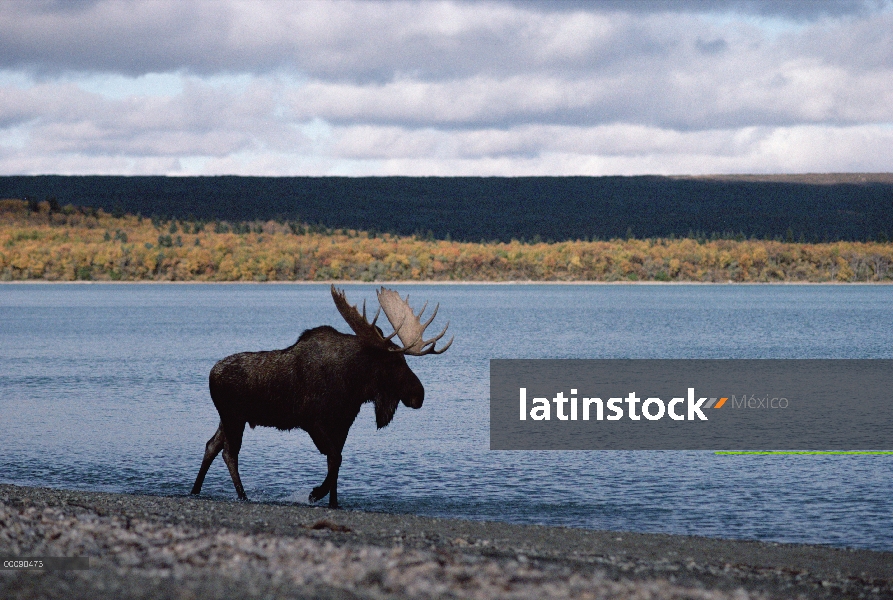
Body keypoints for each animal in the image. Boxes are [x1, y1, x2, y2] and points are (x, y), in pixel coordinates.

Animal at [189, 284, 452, 506]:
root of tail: (212, 373)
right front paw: (315, 493)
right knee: (229, 452)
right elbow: (335, 458)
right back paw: (242, 496)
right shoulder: (312, 421)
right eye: (393, 362)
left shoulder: (343, 423)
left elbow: (335, 461)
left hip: (229, 418)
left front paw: (333, 502)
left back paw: (195, 490)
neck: (354, 385)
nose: (419, 394)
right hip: (233, 416)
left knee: (211, 445)